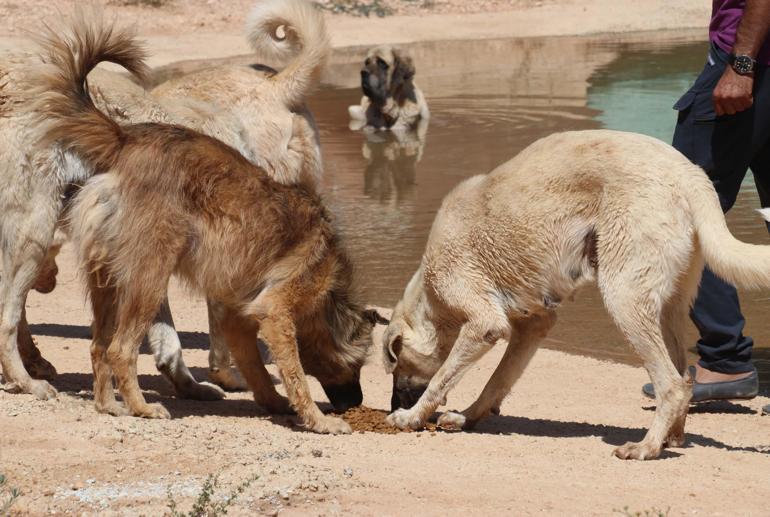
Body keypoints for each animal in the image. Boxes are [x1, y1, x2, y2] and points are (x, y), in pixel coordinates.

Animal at [35, 16, 378, 432]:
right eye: (358, 366)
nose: (356, 402)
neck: (327, 296)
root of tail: (125, 140)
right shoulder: (276, 310)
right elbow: (295, 374)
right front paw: (317, 419)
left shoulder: (238, 314)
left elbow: (256, 367)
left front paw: (272, 401)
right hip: (148, 280)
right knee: (120, 349)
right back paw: (141, 407)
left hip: (108, 282)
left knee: (99, 346)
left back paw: (109, 405)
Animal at [380, 129, 768, 460]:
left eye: (396, 364)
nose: (392, 403)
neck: (429, 293)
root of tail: (691, 174)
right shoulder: (532, 326)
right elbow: (498, 380)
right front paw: (467, 417)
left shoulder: (484, 324)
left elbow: (442, 378)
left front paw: (411, 417)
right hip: (668, 308)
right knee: (684, 378)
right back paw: (671, 437)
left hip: (623, 298)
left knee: (671, 385)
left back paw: (646, 447)